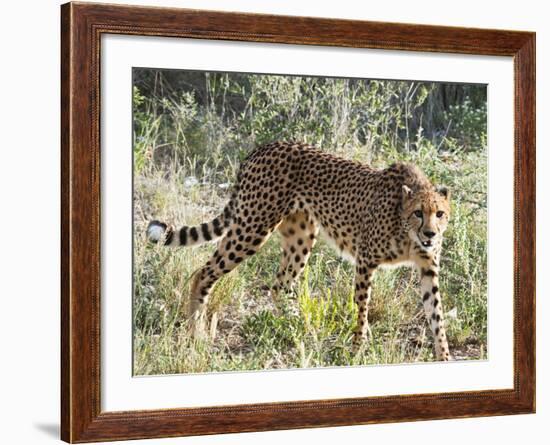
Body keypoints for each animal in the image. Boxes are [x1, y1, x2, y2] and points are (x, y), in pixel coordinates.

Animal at [147, 142, 452, 360]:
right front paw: (357, 349)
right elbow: (362, 309)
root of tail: (265, 146)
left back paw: (298, 326)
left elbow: (436, 314)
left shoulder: (427, 267)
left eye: (439, 213)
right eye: (417, 213)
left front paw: (444, 357)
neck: (406, 230)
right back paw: (195, 332)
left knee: (280, 284)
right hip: (252, 227)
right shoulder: (365, 261)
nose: (430, 234)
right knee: (204, 272)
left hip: (301, 235)